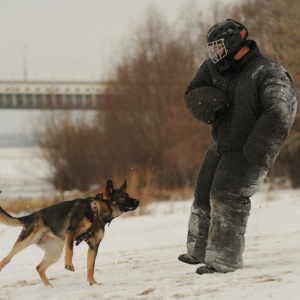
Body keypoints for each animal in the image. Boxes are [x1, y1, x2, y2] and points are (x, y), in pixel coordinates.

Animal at [0, 180, 139, 286]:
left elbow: (90, 268)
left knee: (39, 268)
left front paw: (93, 283)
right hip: (25, 241)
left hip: (55, 252)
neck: (96, 211)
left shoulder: (93, 246)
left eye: (128, 195)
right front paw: (69, 264)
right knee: (7, 259)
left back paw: (49, 286)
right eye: (122, 197)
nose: (137, 201)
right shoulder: (71, 233)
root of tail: (30, 216)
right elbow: (70, 250)